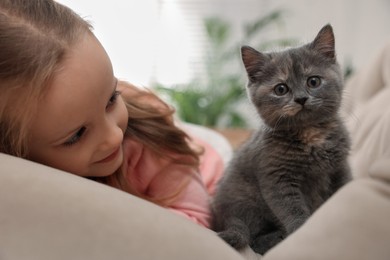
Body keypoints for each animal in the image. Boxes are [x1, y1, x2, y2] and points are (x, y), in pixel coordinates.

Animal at [212, 25, 352, 255]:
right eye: (281, 89)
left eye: (313, 81)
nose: (301, 98)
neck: (311, 135)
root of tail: (224, 214)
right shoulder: (277, 178)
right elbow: (292, 210)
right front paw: (302, 233)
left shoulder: (340, 167)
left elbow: (342, 190)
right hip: (245, 198)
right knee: (253, 239)